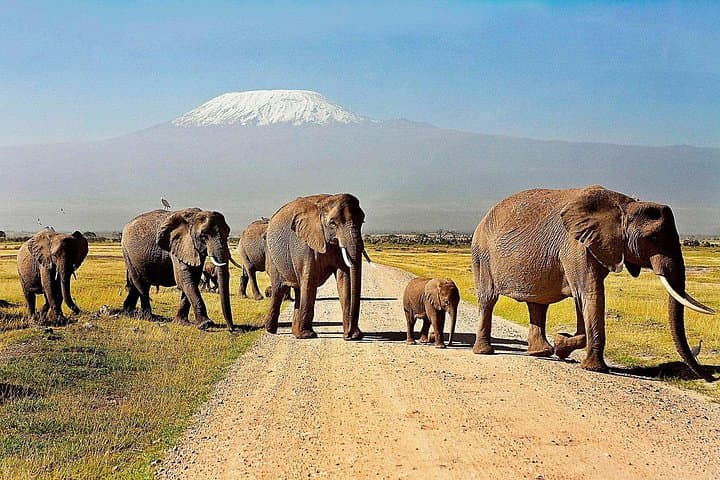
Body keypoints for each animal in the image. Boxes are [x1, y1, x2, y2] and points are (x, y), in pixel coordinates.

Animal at [264, 193, 366, 340]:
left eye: (362, 221)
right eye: (332, 223)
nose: (349, 334)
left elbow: (344, 278)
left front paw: (354, 336)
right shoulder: (303, 244)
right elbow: (309, 279)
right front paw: (308, 335)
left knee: (298, 289)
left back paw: (295, 332)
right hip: (273, 257)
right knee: (279, 289)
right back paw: (271, 330)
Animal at [470, 185, 715, 380]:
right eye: (653, 238)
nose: (710, 378)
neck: (625, 205)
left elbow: (585, 299)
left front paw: (562, 345)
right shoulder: (575, 246)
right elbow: (590, 294)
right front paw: (591, 366)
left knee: (538, 305)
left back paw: (541, 353)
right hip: (482, 256)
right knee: (488, 299)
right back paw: (485, 352)